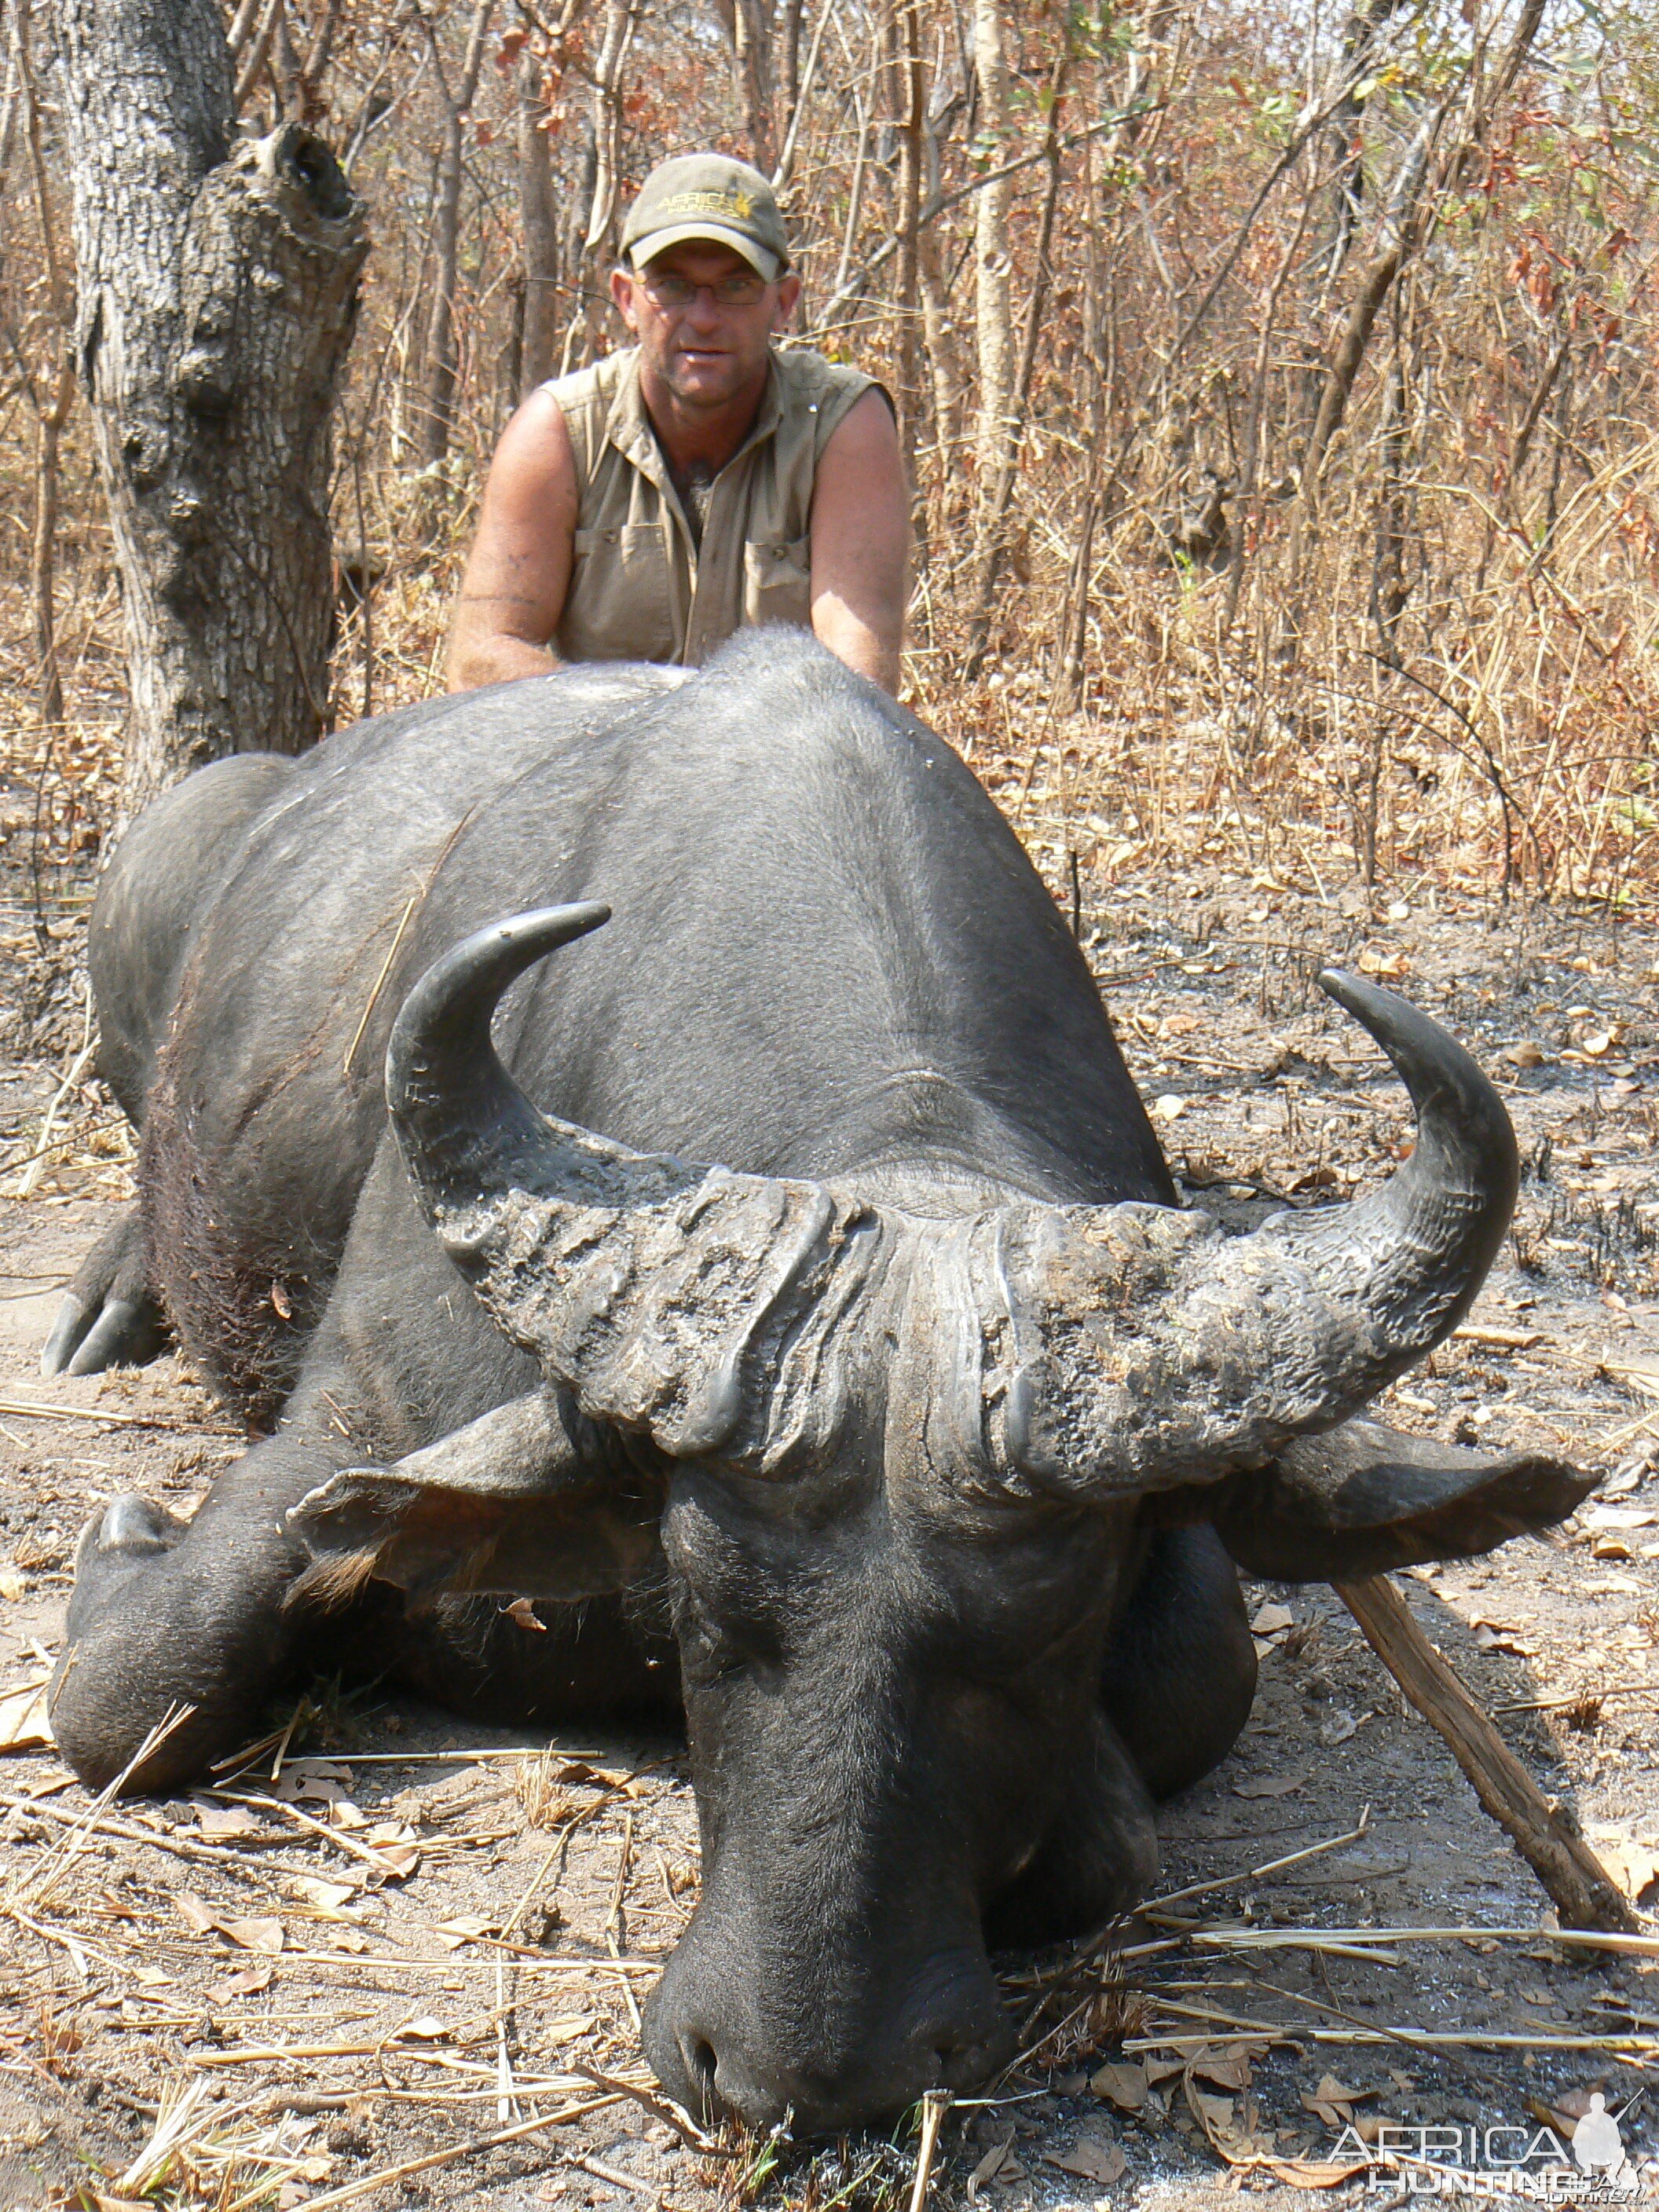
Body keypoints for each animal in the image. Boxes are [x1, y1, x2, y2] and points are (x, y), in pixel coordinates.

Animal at [45, 628, 1592, 2123]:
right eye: (702, 1602)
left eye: (1050, 1630)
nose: (799, 2069)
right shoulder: (354, 1416)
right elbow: (127, 1688)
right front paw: (126, 1536)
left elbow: (1145, 1768)